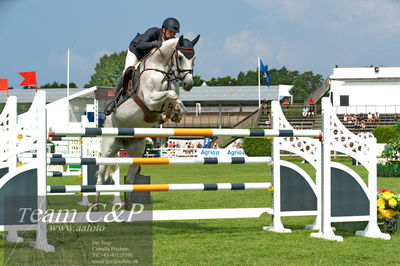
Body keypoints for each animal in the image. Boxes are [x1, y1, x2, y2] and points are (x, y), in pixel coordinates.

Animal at [94, 34, 200, 210]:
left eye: (194, 58)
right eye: (180, 57)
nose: (189, 84)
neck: (161, 69)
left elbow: (176, 101)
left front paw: (174, 114)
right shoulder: (150, 100)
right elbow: (171, 94)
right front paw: (171, 112)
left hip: (136, 151)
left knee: (130, 178)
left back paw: (128, 205)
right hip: (109, 147)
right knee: (101, 175)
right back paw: (95, 206)